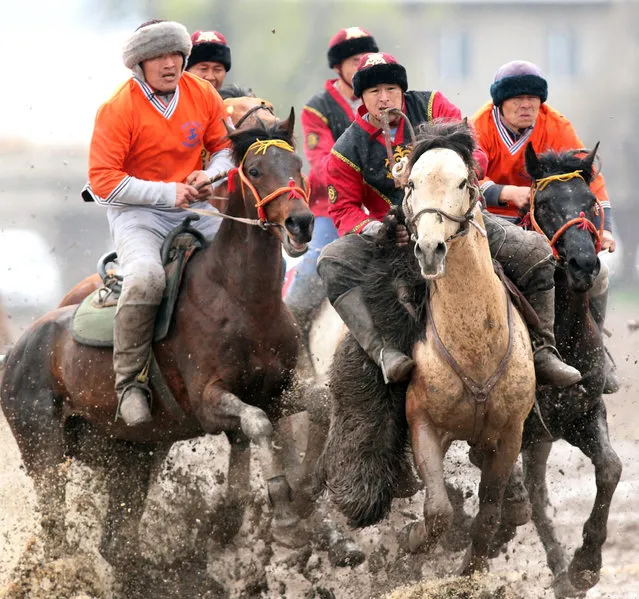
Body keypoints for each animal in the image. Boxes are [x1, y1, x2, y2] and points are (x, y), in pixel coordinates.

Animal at [0, 113, 318, 576]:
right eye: (256, 170)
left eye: (297, 164)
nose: (301, 222)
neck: (243, 299)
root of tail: (15, 352)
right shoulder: (209, 401)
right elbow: (257, 424)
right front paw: (287, 520)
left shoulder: (278, 389)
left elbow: (319, 407)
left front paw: (309, 491)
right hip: (44, 452)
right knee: (57, 533)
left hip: (130, 456)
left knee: (115, 543)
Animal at [398, 123, 536, 576]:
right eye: (410, 183)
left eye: (462, 182)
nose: (429, 249)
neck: (475, 348)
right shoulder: (422, 423)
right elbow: (438, 511)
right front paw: (412, 538)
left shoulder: (510, 433)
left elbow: (489, 513)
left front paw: (469, 572)